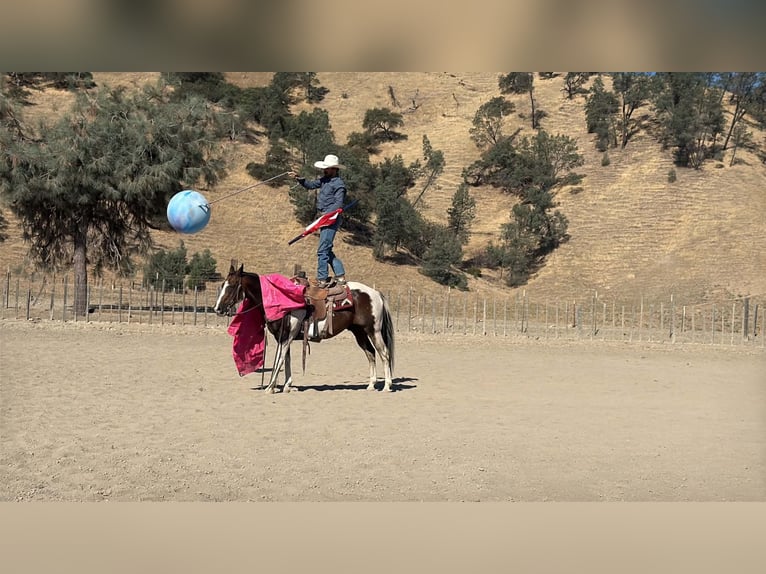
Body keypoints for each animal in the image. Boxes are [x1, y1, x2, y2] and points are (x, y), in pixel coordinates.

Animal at [214, 263, 395, 393]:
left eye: (231, 286)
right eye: (222, 284)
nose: (217, 308)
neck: (280, 297)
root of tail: (375, 293)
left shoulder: (287, 335)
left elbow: (280, 358)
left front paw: (271, 386)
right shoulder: (283, 336)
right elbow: (286, 359)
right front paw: (287, 386)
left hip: (373, 330)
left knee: (384, 354)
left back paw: (387, 385)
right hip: (359, 332)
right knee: (370, 353)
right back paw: (371, 385)